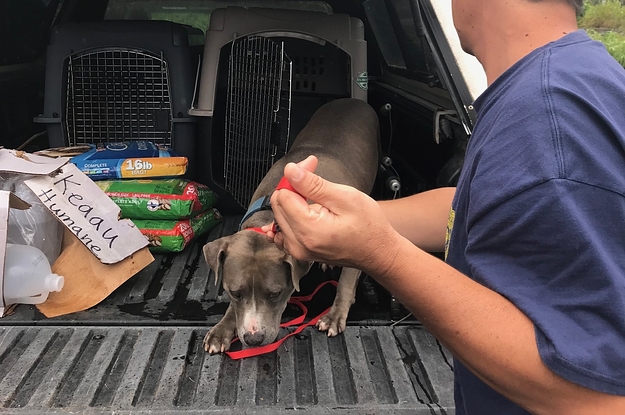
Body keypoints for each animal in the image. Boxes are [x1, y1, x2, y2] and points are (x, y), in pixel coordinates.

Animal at [202, 98, 378, 354]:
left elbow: (346, 281)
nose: (253, 339)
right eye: (234, 292)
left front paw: (334, 315)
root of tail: (352, 100)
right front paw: (222, 329)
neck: (273, 217)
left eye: (275, 293)